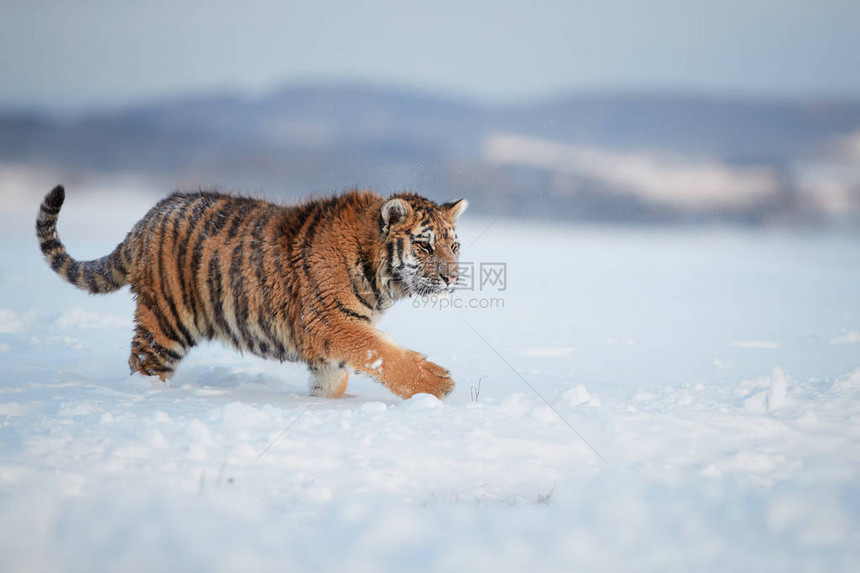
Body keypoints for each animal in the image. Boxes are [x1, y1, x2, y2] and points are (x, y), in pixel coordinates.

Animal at [37, 187, 470, 398]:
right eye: (425, 246)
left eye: (454, 245)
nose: (452, 278)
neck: (381, 278)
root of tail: (147, 217)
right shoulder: (332, 322)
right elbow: (381, 354)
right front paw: (437, 384)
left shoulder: (327, 342)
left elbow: (334, 381)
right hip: (164, 324)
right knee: (142, 363)